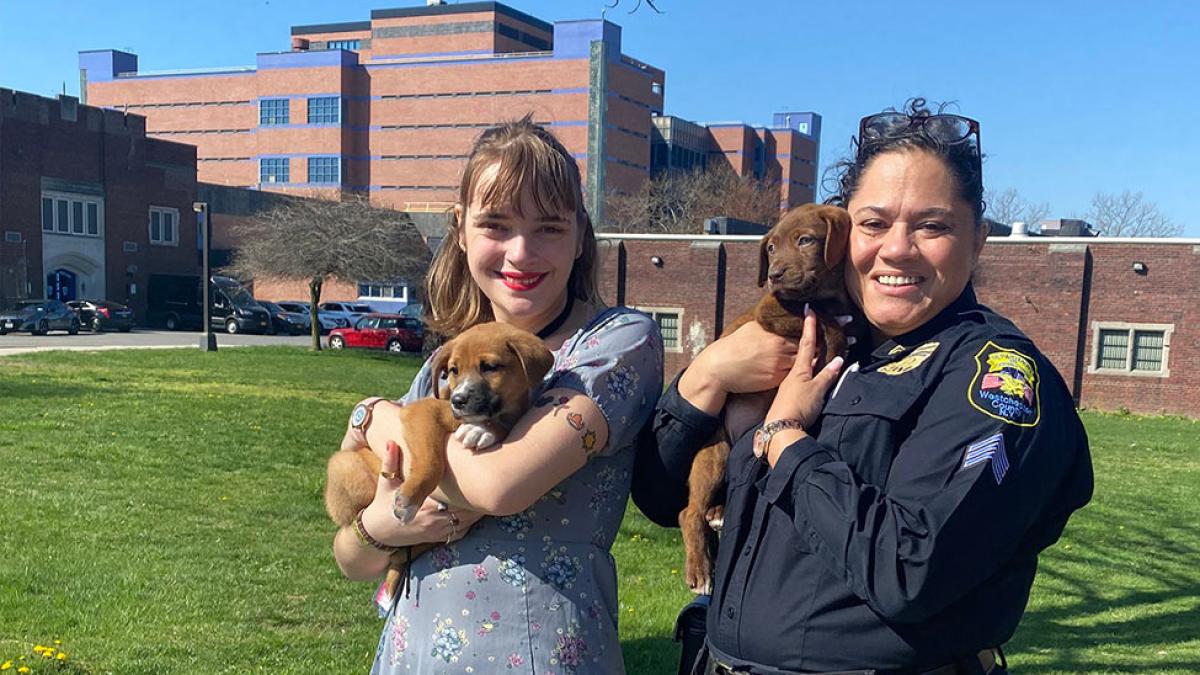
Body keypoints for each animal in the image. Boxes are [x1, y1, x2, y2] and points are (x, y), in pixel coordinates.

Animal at [326, 319, 554, 593]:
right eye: (454, 370)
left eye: (490, 367)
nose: (458, 400)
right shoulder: (422, 413)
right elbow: (432, 462)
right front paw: (409, 500)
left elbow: (501, 427)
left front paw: (482, 431)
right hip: (347, 466)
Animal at [676, 201, 864, 590]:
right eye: (772, 248)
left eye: (806, 240)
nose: (775, 275)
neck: (828, 293)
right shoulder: (771, 312)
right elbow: (820, 318)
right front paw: (832, 348)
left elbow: (838, 319)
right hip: (715, 454)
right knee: (688, 511)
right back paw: (699, 569)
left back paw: (718, 513)